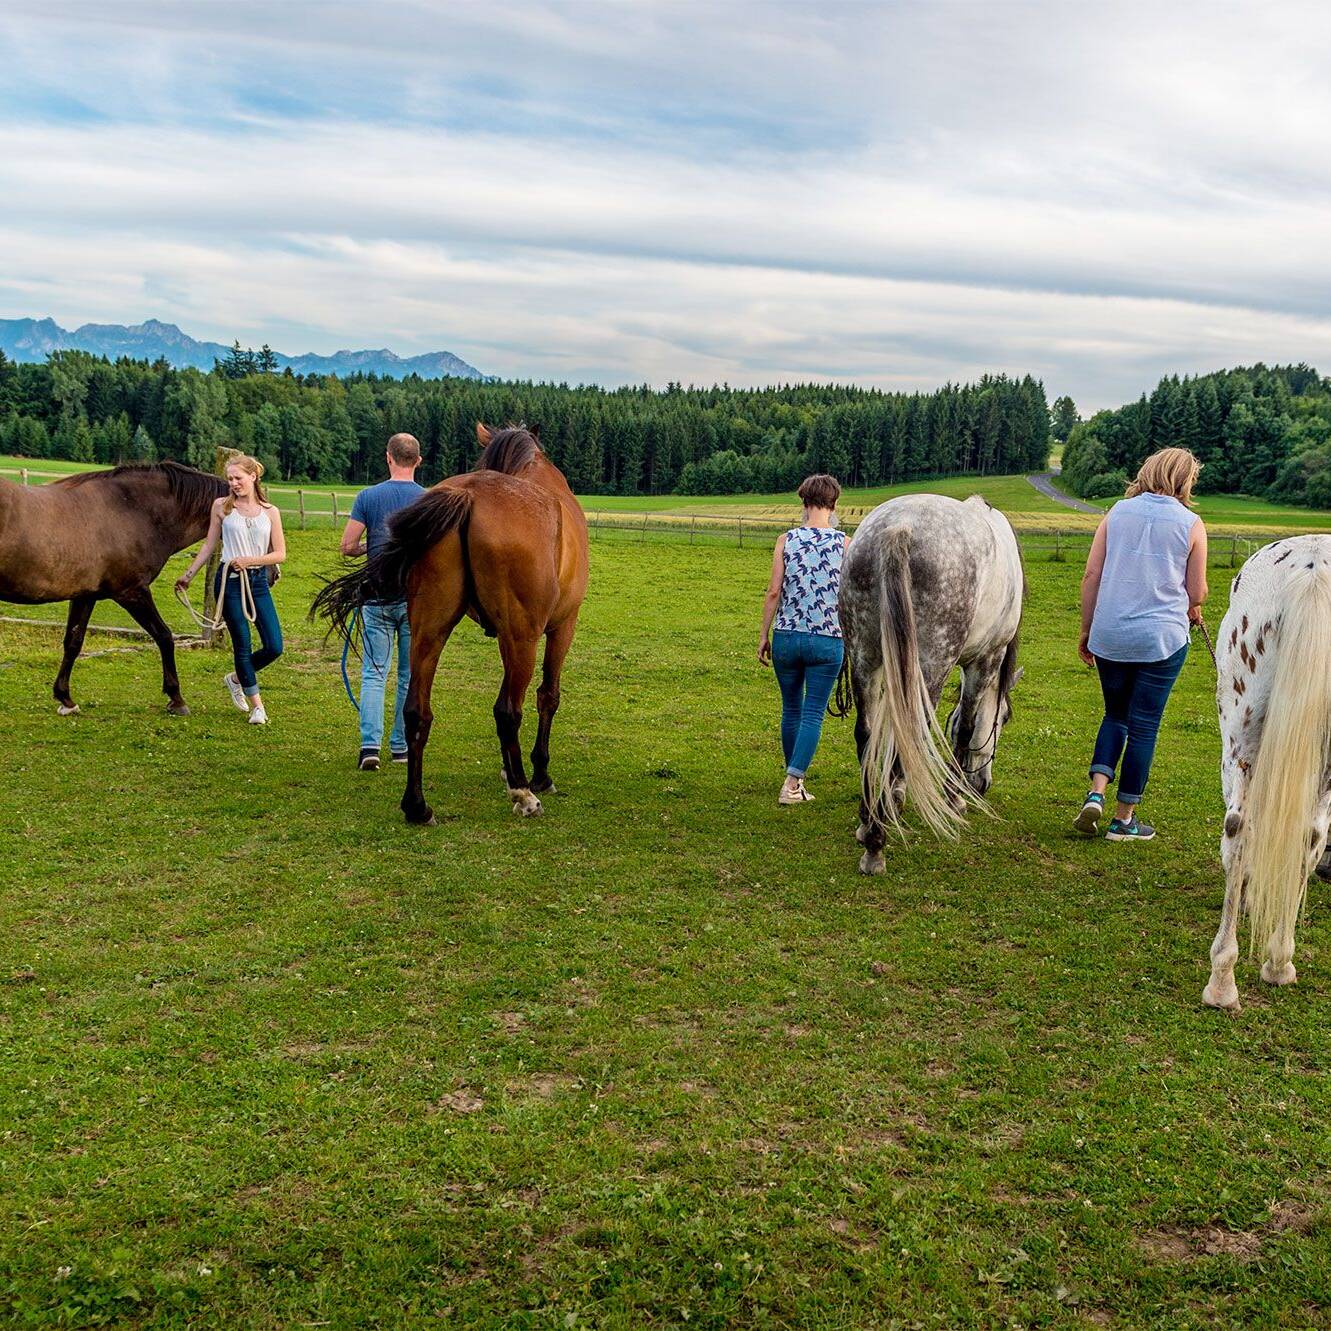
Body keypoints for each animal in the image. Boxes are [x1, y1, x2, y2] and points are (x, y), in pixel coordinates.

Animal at [0, 460, 226, 713]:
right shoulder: (132, 592)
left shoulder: (84, 595)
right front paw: (176, 697)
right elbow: (164, 636)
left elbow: (73, 642)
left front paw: (65, 698)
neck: (131, 509)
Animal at [314, 423, 590, 819]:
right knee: (508, 710)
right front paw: (537, 774)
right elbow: (547, 696)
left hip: (429, 630)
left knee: (415, 711)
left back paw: (417, 806)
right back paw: (524, 793)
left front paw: (509, 769)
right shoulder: (560, 627)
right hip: (522, 637)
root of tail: (468, 496)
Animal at [835, 495, 1022, 878]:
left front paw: (896, 792)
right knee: (912, 731)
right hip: (931, 664)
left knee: (867, 734)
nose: (983, 785)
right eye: (1004, 719)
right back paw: (878, 839)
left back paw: (869, 820)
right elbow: (966, 728)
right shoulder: (985, 661)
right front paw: (954, 796)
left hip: (864, 658)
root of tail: (899, 529)